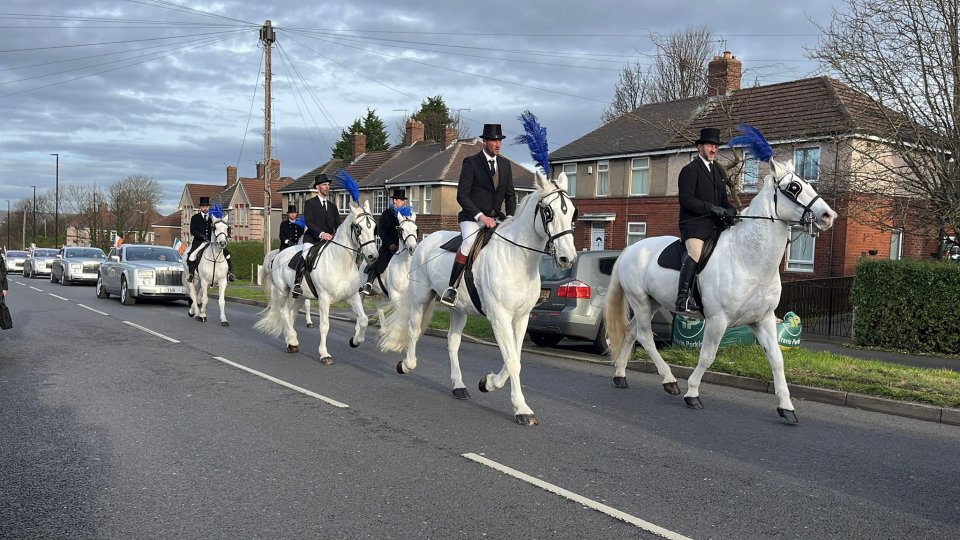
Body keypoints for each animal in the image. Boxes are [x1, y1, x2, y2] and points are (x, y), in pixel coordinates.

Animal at [256, 198, 380, 362]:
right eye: (358, 228)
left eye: (374, 227)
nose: (373, 256)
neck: (341, 263)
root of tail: (278, 255)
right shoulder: (324, 299)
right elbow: (324, 326)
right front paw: (324, 354)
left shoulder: (352, 297)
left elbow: (364, 320)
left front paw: (355, 341)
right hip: (283, 291)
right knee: (284, 312)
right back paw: (292, 340)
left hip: (301, 296)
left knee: (291, 313)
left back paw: (291, 341)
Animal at [380, 171, 576, 424]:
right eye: (548, 212)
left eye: (572, 212)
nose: (567, 258)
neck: (517, 258)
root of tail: (425, 242)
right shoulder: (499, 317)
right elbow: (512, 362)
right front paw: (521, 409)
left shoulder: (521, 318)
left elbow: (514, 359)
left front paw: (488, 383)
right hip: (420, 298)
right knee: (414, 330)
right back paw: (406, 364)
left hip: (458, 309)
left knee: (453, 342)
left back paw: (459, 386)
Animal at [608, 130, 840, 422]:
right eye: (794, 188)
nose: (829, 216)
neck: (749, 260)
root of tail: (630, 249)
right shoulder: (718, 320)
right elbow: (708, 356)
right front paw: (692, 393)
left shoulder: (763, 320)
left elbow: (777, 360)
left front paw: (786, 407)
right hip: (639, 300)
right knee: (645, 337)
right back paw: (670, 381)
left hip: (653, 303)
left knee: (630, 333)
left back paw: (620, 376)